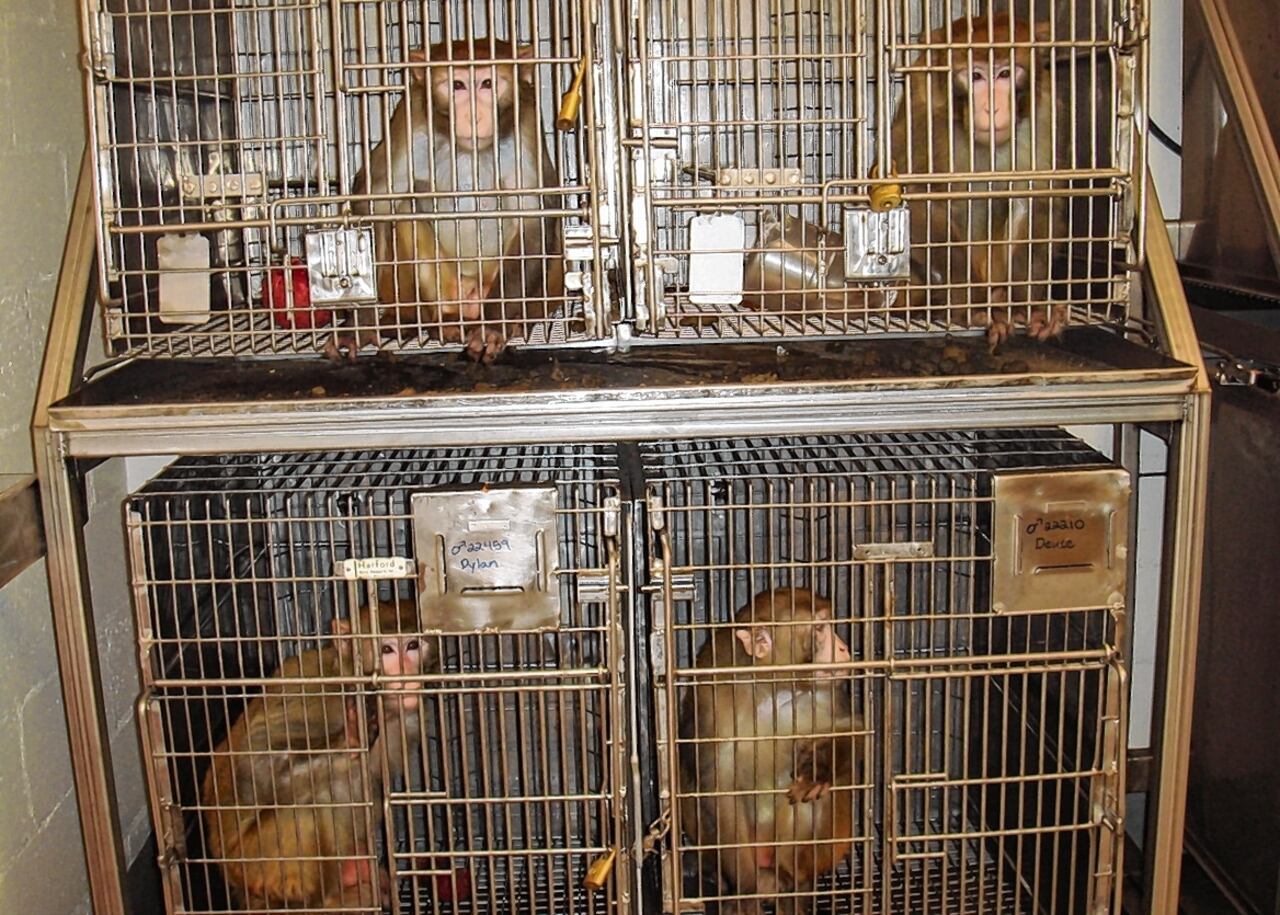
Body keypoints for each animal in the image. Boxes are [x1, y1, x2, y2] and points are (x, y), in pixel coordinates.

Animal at [201, 599, 433, 912]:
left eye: (413, 646)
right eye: (387, 650)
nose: (407, 676)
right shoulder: (311, 690)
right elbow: (257, 764)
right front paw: (352, 738)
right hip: (256, 866)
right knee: (309, 806)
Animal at [328, 39, 563, 363]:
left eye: (488, 83)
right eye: (457, 85)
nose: (474, 117)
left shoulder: (525, 117)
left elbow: (533, 218)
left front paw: (493, 326)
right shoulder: (411, 115)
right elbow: (378, 206)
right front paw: (358, 326)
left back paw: (516, 320)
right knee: (406, 209)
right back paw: (444, 322)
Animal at [678, 588, 861, 915]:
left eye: (828, 623)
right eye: (819, 628)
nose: (843, 647)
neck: (772, 687)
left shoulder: (827, 696)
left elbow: (849, 731)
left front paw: (818, 771)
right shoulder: (712, 701)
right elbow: (719, 788)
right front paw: (745, 892)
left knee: (814, 802)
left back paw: (788, 879)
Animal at [889, 15, 1067, 347]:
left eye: (1006, 73)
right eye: (975, 76)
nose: (992, 108)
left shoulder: (1044, 115)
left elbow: (1038, 199)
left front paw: (1026, 305)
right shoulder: (923, 114)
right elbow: (918, 202)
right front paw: (973, 306)